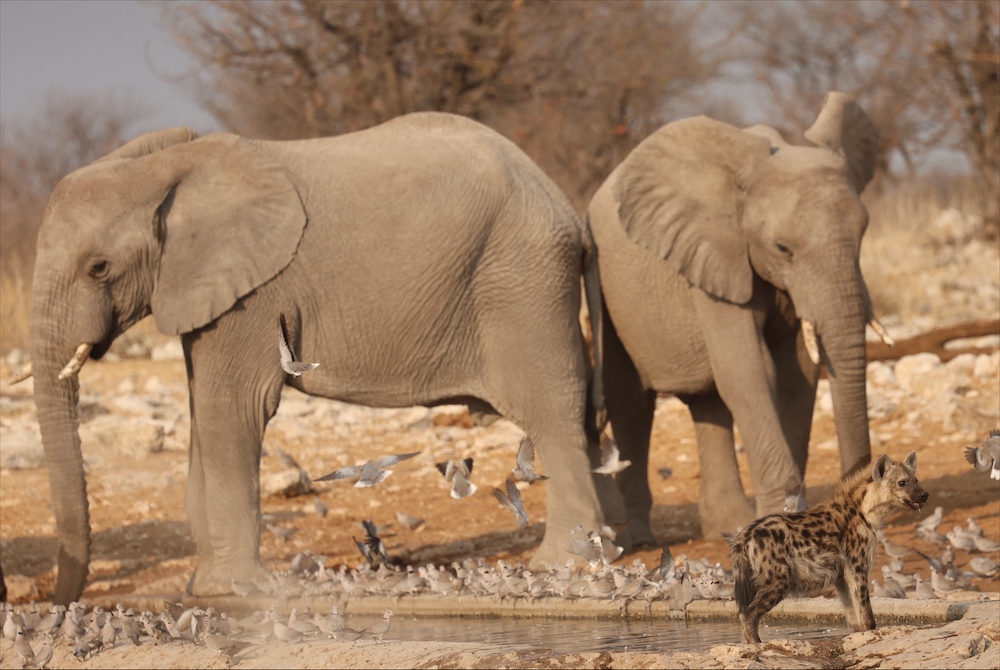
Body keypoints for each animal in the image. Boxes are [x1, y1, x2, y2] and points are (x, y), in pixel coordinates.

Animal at [23, 111, 615, 604]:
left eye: (99, 268)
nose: (57, 601)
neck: (163, 167)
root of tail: (567, 207)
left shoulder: (254, 294)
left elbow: (231, 412)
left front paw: (228, 589)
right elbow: (203, 416)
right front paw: (204, 589)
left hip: (523, 284)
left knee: (552, 415)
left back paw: (559, 563)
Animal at [588, 92, 890, 546]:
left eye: (863, 234)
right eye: (783, 248)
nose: (868, 484)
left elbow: (797, 374)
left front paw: (787, 517)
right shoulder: (715, 257)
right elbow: (749, 371)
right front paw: (780, 518)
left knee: (709, 403)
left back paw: (724, 525)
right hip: (610, 295)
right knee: (632, 403)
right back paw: (639, 540)